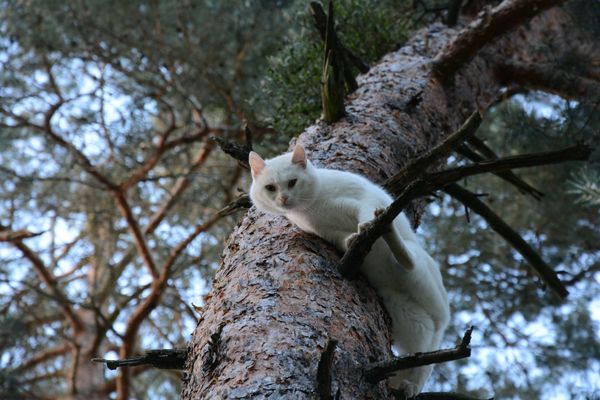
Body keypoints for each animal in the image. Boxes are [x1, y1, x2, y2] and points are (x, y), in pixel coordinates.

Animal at [248, 144, 450, 396]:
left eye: (292, 182)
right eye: (270, 188)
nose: (283, 198)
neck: (314, 205)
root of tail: (443, 316)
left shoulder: (365, 197)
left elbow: (367, 213)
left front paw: (368, 226)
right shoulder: (326, 231)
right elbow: (344, 239)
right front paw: (353, 240)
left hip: (417, 265)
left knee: (408, 260)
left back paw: (389, 233)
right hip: (403, 309)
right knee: (420, 351)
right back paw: (407, 386)